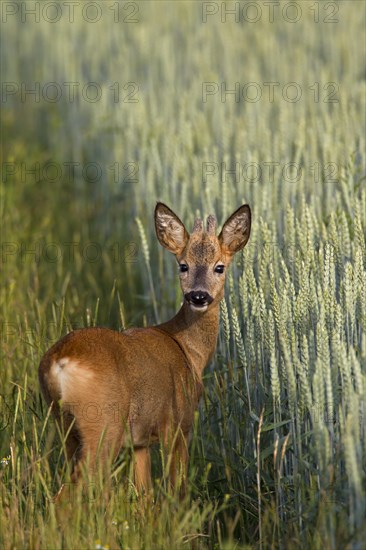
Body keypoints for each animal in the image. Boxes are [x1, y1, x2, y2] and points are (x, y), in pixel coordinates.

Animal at [40, 203, 252, 500]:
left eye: (219, 267)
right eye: (183, 266)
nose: (198, 296)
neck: (189, 351)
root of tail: (61, 361)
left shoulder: (139, 443)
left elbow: (144, 494)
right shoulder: (178, 425)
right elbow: (177, 490)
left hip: (64, 425)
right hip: (103, 425)